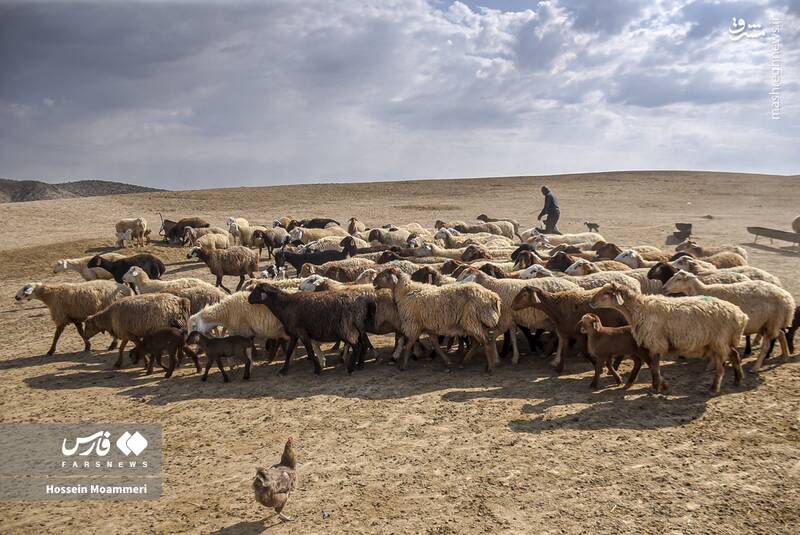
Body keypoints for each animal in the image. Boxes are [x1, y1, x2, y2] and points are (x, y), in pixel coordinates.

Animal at [588, 280, 752, 394]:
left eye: (607, 292)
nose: (591, 302)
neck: (639, 309)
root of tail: (741, 316)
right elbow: (653, 366)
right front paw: (660, 385)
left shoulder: (656, 342)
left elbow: (655, 367)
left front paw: (658, 387)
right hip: (722, 341)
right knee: (735, 355)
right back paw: (738, 379)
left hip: (719, 341)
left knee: (721, 368)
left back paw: (714, 388)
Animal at [660, 272, 796, 372]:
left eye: (678, 279)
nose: (664, 288)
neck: (704, 291)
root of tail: (789, 300)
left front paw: (712, 365)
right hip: (771, 323)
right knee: (781, 335)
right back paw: (785, 357)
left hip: (773, 322)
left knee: (766, 346)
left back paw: (756, 367)